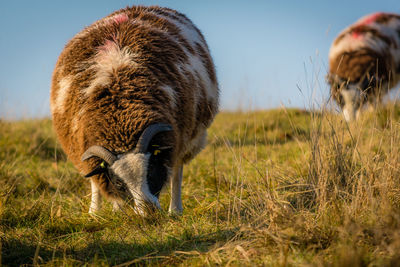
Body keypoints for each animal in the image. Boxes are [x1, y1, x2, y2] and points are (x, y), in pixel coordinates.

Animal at [50, 6, 220, 216]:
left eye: (151, 170)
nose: (149, 212)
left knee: (177, 171)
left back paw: (175, 209)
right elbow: (96, 183)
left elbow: (174, 171)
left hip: (188, 136)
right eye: (119, 183)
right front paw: (95, 213)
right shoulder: (83, 147)